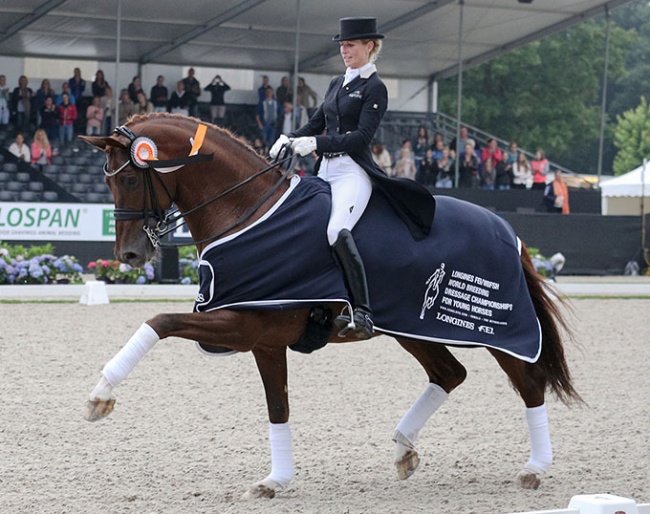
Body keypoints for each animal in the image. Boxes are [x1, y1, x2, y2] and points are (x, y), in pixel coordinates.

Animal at [78, 113, 580, 500]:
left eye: (129, 177)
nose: (130, 255)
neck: (246, 211)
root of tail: (506, 230)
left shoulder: (241, 323)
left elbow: (159, 321)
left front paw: (101, 395)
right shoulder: (263, 338)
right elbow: (277, 406)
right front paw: (275, 480)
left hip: (497, 330)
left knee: (529, 381)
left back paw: (535, 469)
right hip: (413, 329)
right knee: (449, 374)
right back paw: (404, 448)